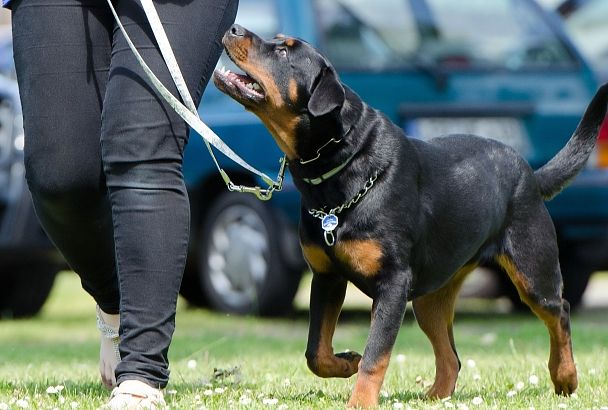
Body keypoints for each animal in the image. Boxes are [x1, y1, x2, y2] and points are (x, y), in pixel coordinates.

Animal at [215, 24, 608, 408]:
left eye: (283, 51)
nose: (234, 27)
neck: (339, 169)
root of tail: (531, 174)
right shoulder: (326, 276)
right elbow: (316, 352)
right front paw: (346, 362)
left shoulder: (393, 284)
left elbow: (376, 355)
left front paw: (360, 400)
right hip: (430, 296)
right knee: (451, 355)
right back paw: (436, 396)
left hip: (531, 268)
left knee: (560, 312)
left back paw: (565, 376)